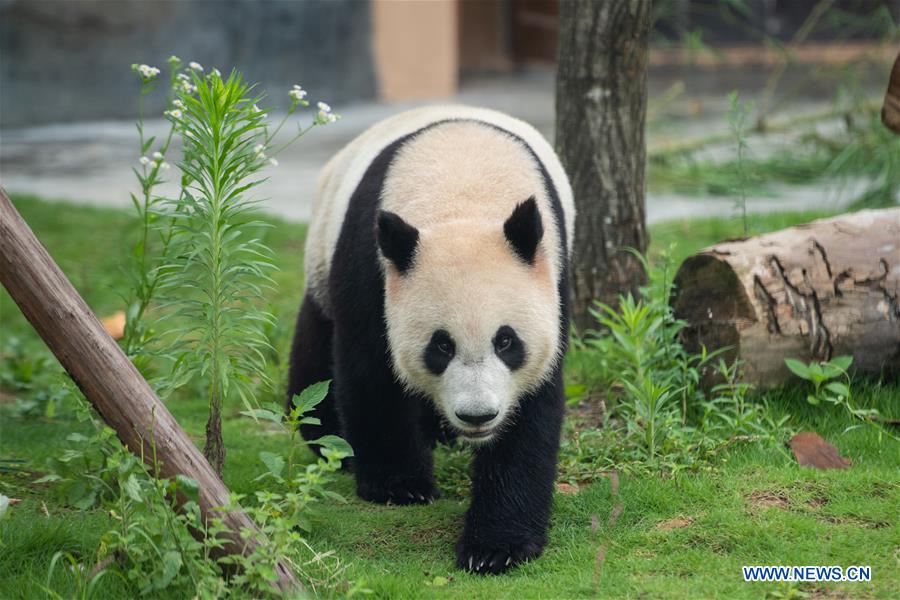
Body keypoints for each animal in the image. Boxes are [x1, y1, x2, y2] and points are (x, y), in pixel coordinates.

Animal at [284, 105, 572, 576]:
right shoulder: (370, 263)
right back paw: (329, 434)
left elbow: (532, 404)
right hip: (321, 253)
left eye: (506, 342)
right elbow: (371, 369)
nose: (477, 415)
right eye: (441, 346)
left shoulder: (553, 279)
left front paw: (496, 547)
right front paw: (398, 485)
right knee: (315, 354)